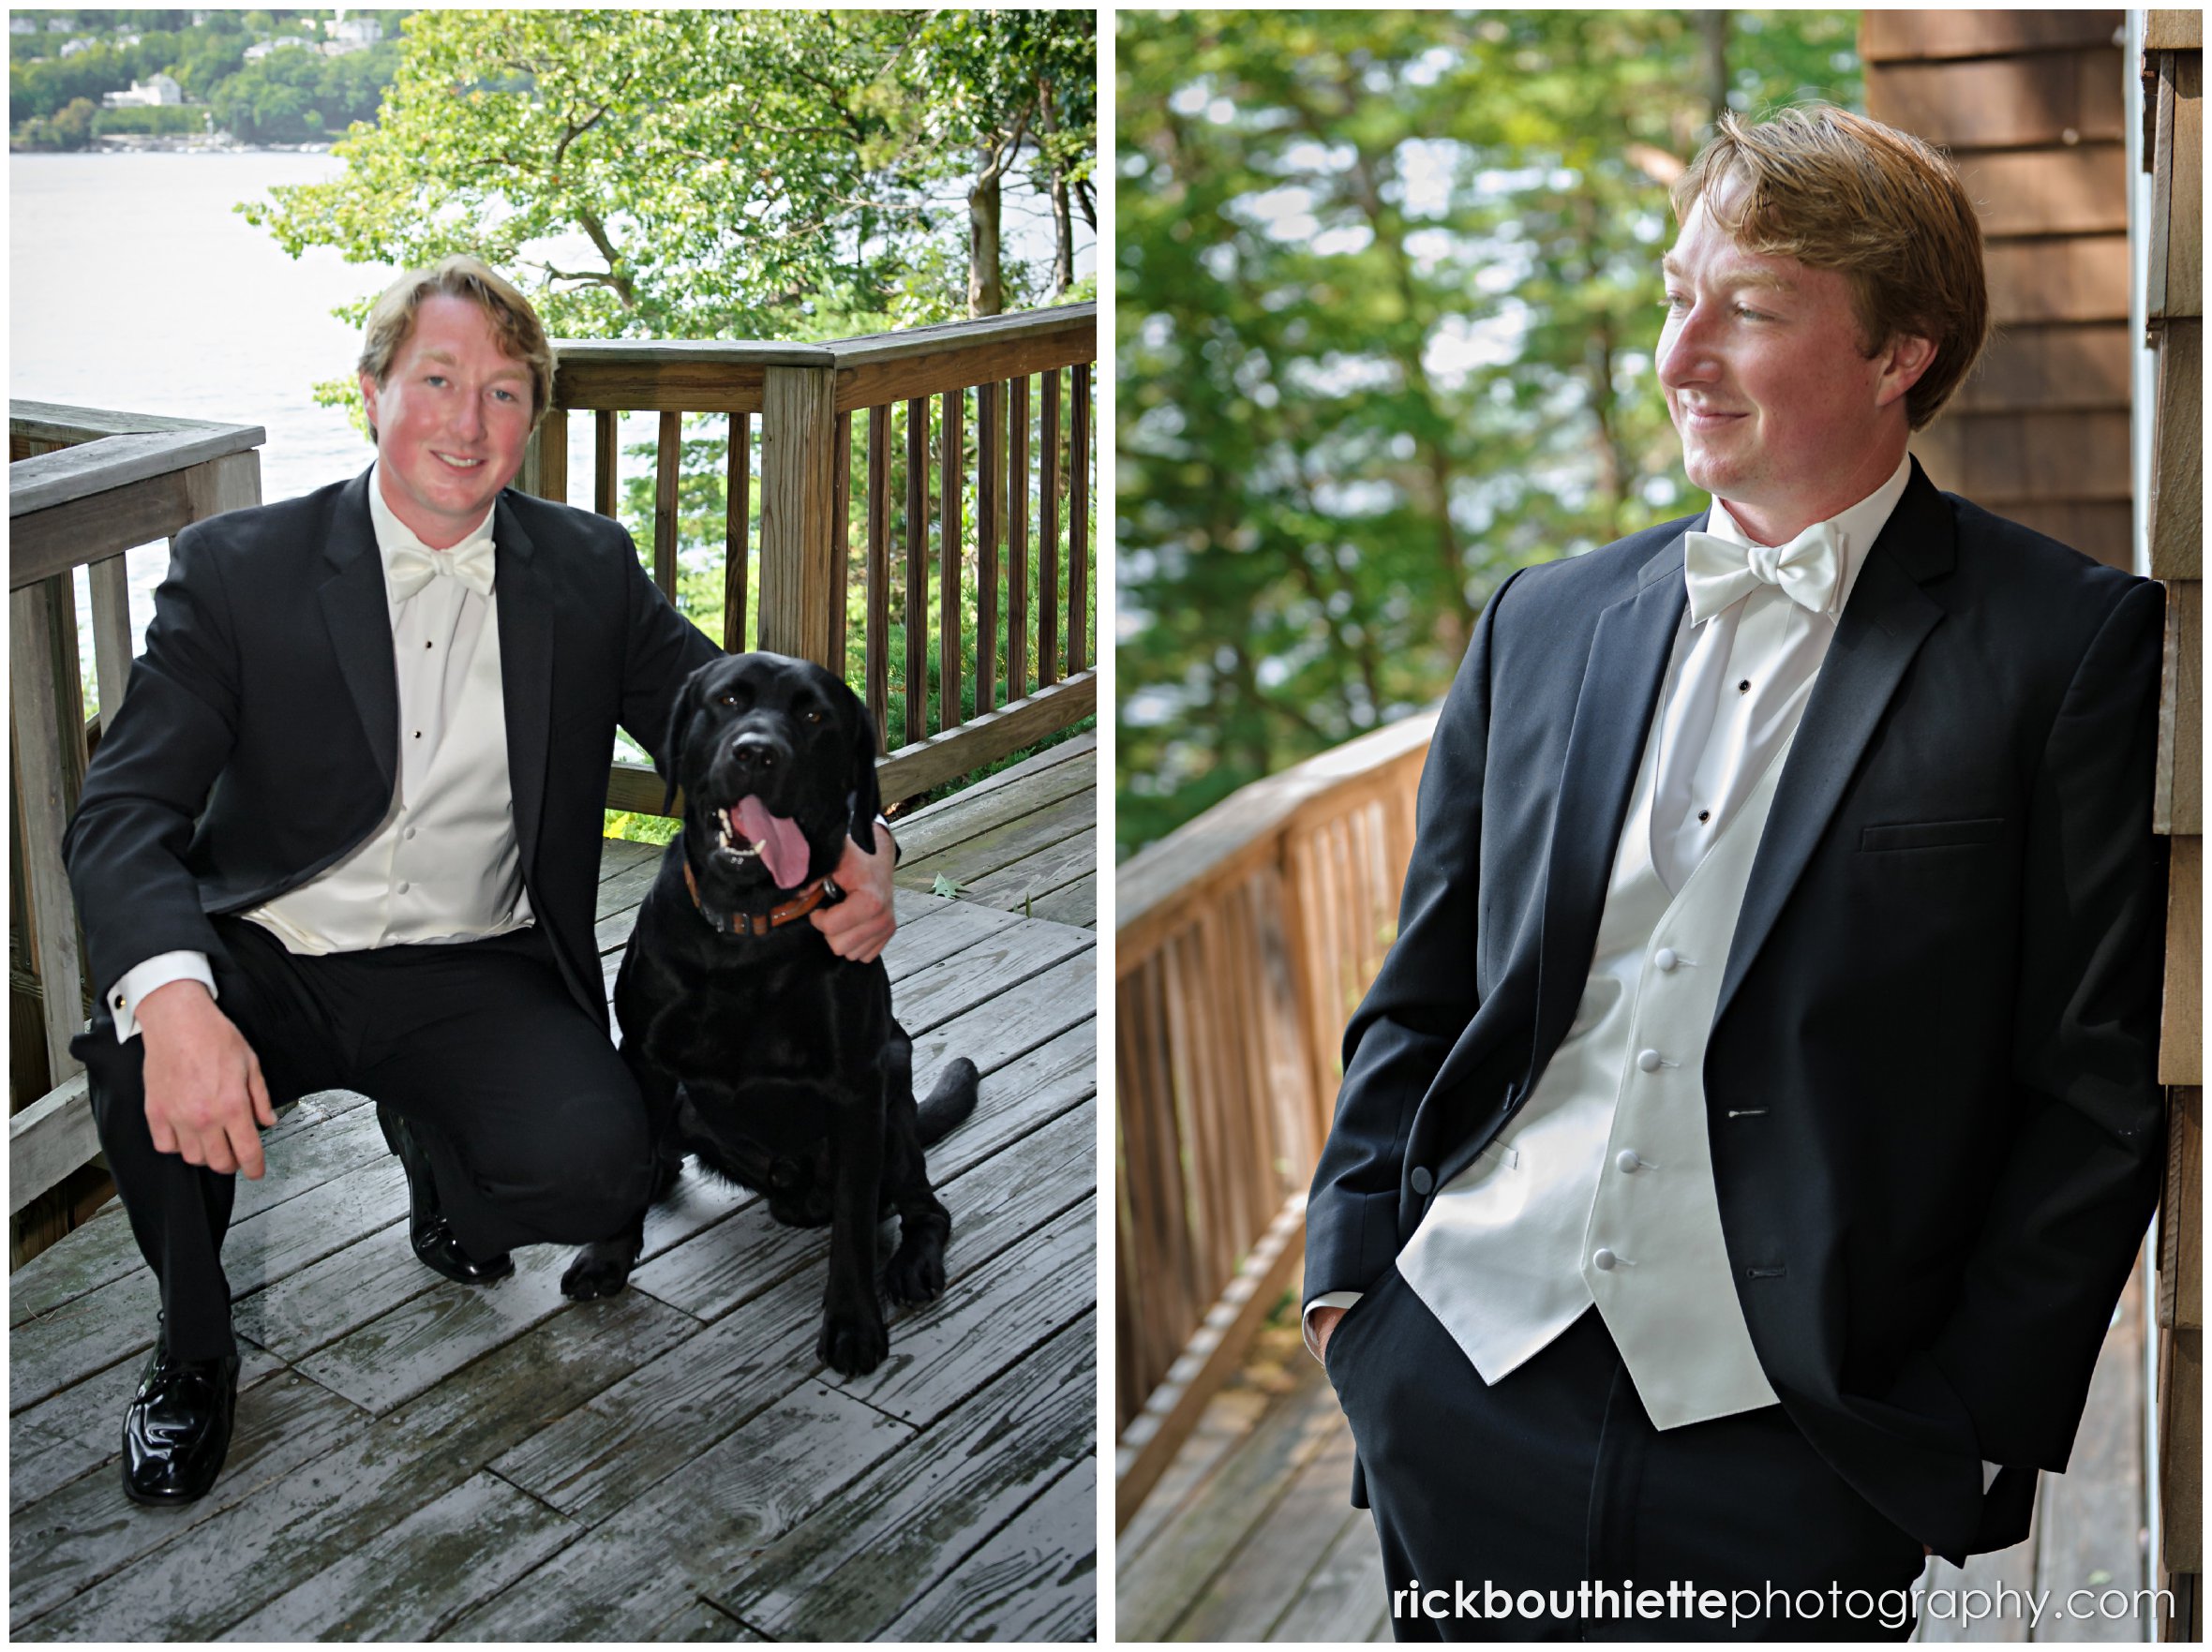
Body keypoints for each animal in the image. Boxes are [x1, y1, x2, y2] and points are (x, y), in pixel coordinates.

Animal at [566, 654, 981, 1379]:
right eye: (728, 700)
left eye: (814, 714)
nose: (757, 753)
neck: (746, 926)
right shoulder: (645, 1057)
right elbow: (632, 1155)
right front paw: (609, 1253)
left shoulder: (857, 1088)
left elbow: (853, 1225)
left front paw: (853, 1321)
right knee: (664, 1158)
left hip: (894, 1100)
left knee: (926, 1208)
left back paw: (912, 1266)